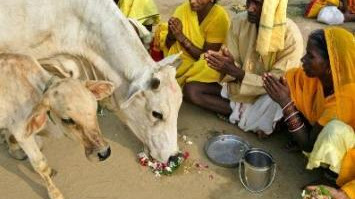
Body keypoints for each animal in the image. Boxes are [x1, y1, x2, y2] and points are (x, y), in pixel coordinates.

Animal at [0, 52, 114, 199]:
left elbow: (38, 148)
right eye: (67, 120)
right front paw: (55, 193)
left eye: (94, 109)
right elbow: (40, 164)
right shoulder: (21, 133)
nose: (104, 153)